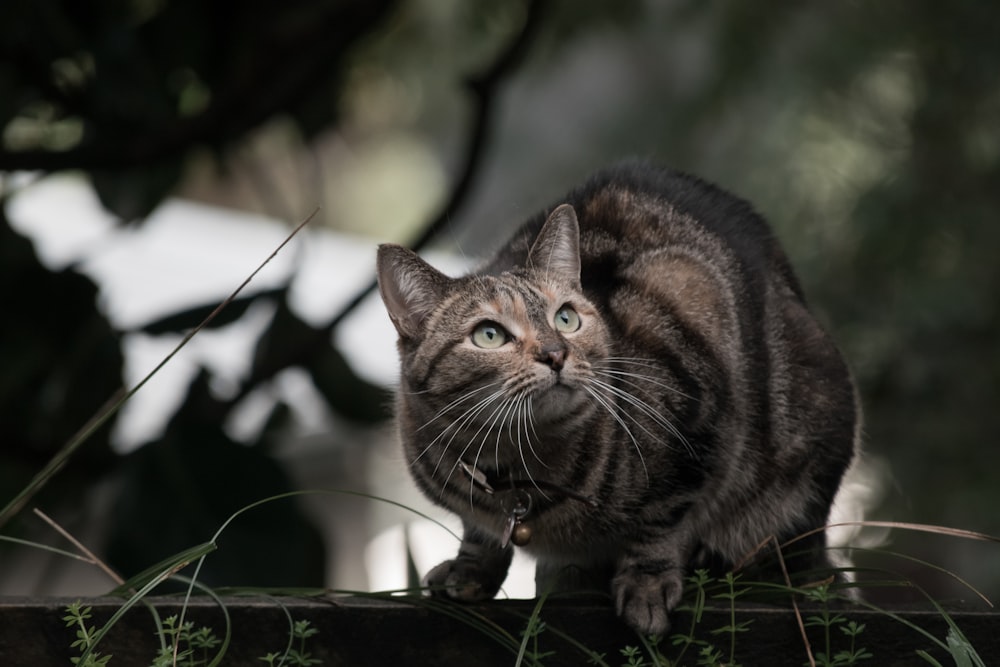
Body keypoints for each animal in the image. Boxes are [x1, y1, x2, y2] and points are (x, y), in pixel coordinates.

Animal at [376, 162, 860, 636]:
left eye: (566, 318)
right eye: (489, 335)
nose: (555, 353)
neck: (516, 469)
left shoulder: (696, 403)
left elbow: (662, 520)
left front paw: (646, 585)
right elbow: (477, 531)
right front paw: (470, 569)